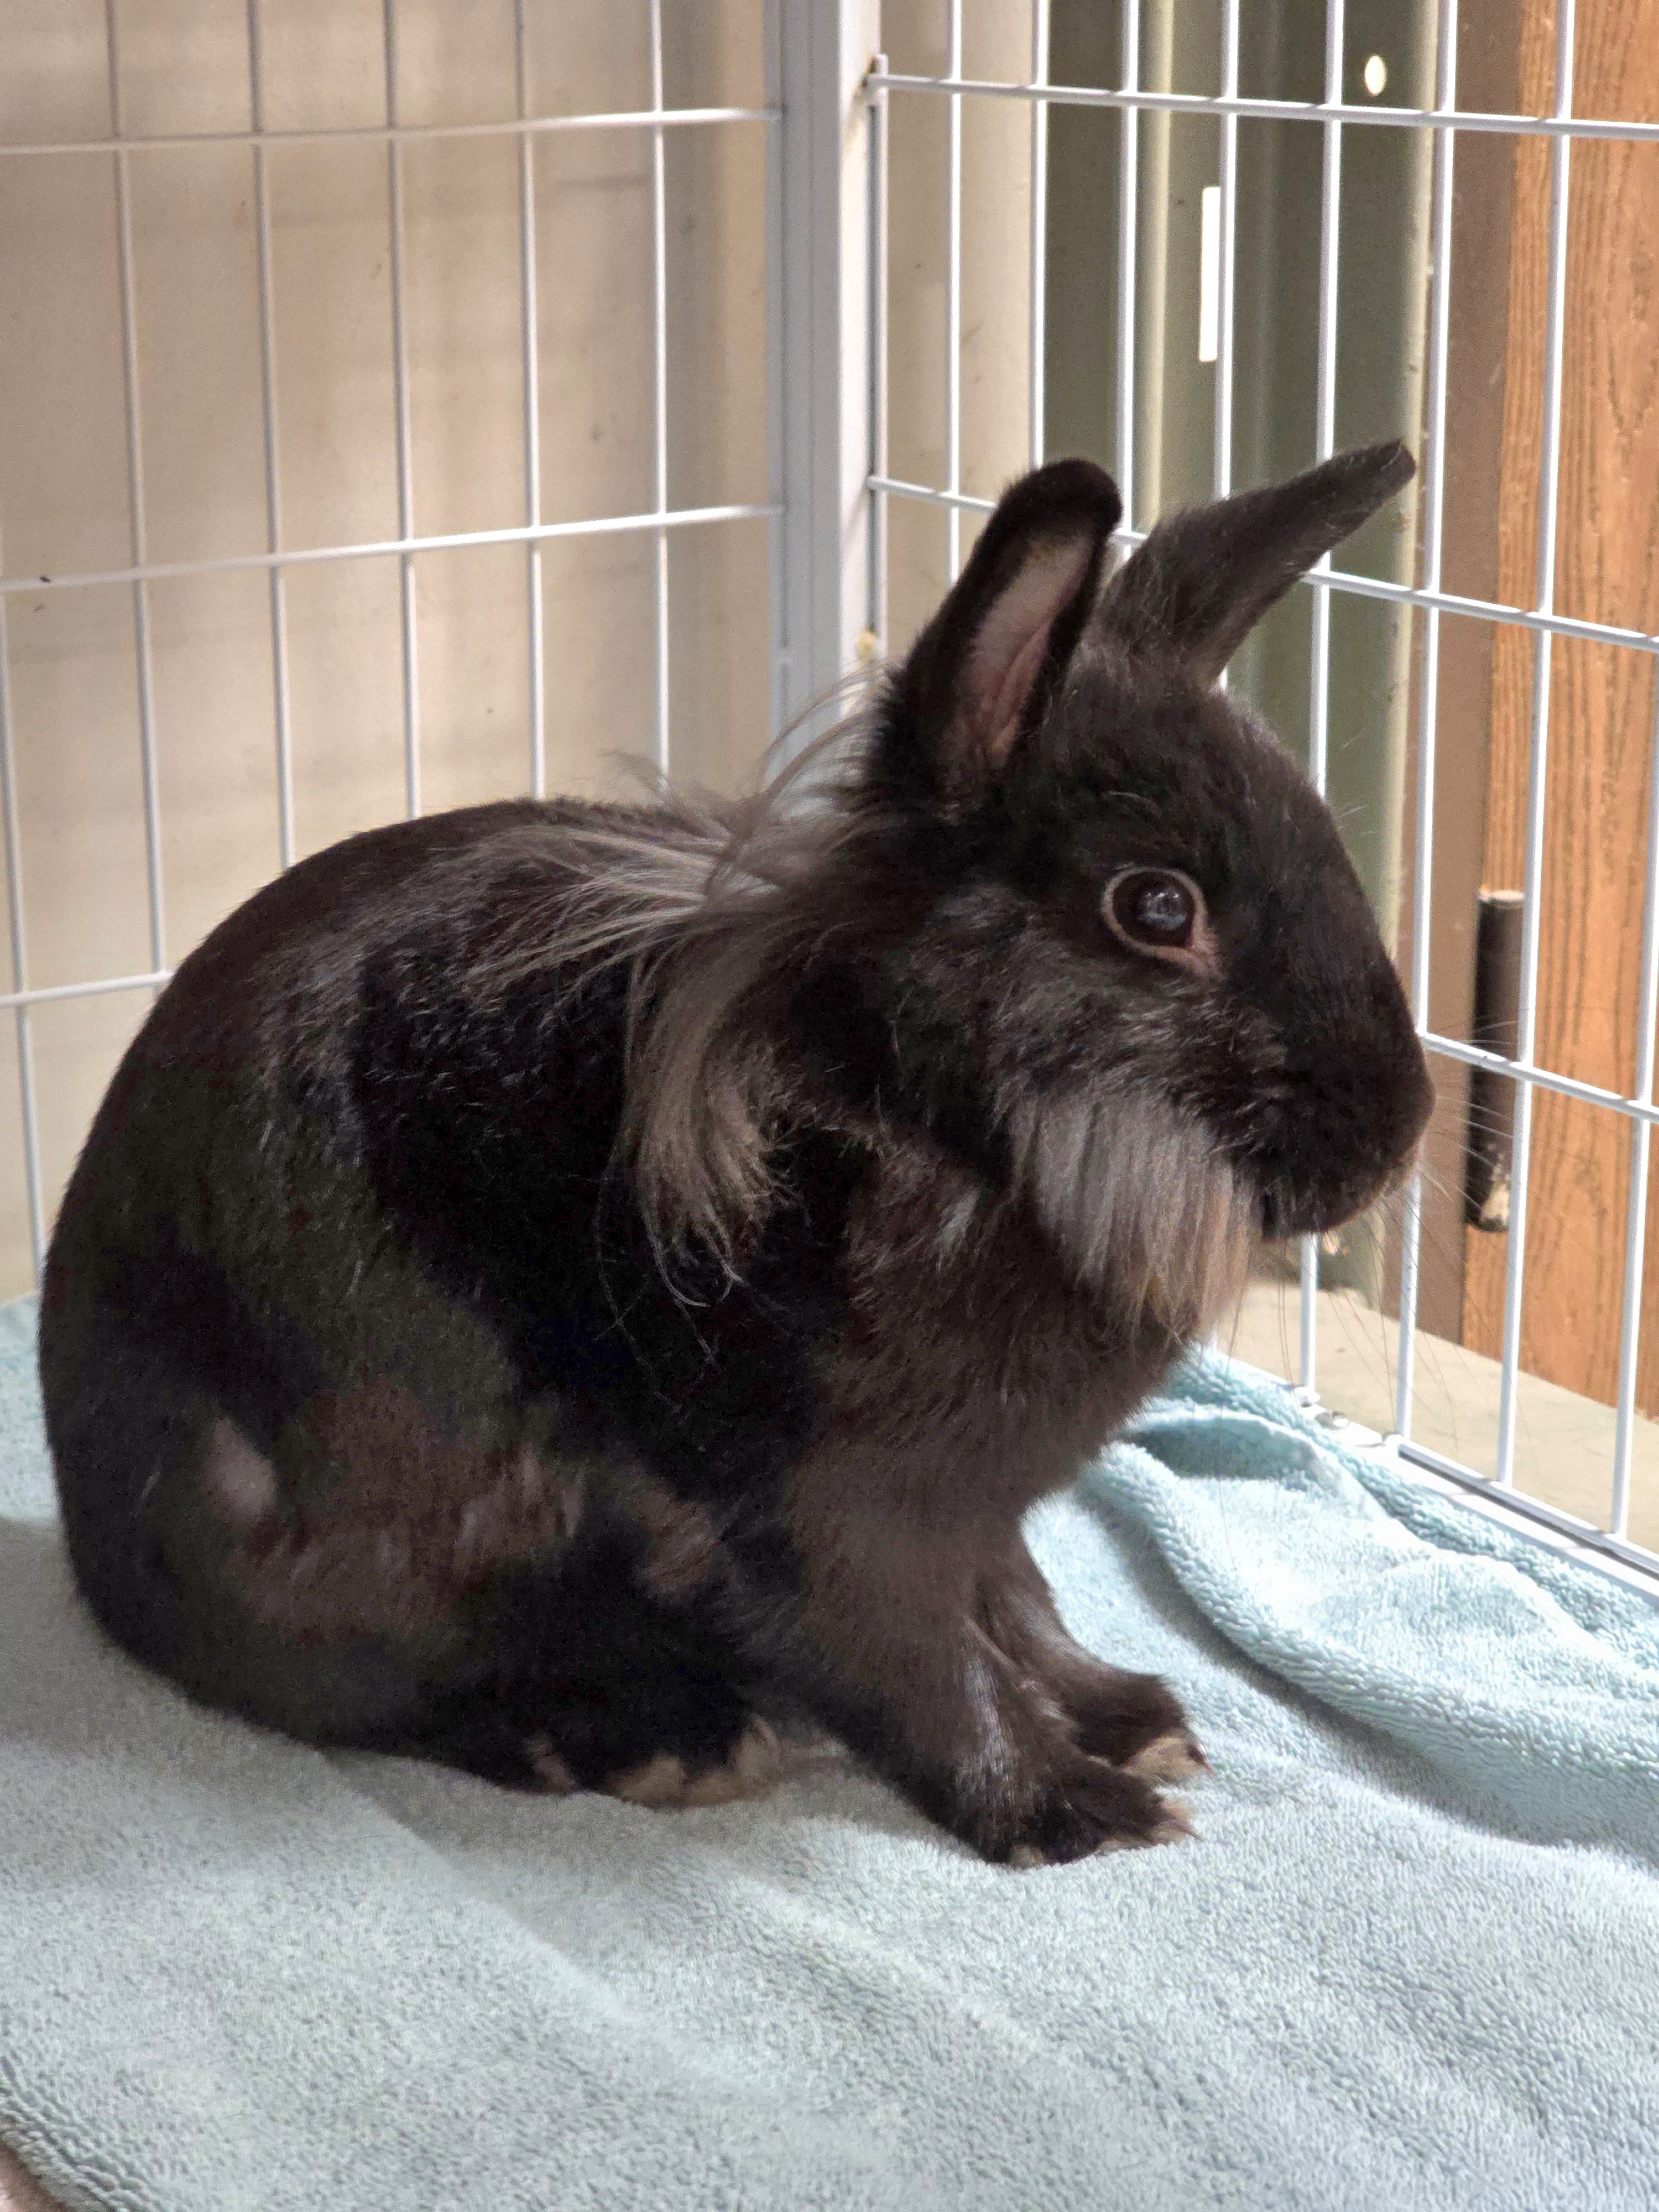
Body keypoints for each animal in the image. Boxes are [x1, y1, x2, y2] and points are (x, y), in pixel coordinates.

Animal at [40, 441, 1432, 1866]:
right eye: (1155, 907)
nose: (1393, 1139)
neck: (933, 1128)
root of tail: (93, 1528)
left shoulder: (977, 1507)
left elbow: (1020, 1601)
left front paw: (1128, 1716)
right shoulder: (824, 1514)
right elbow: (924, 1656)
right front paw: (1073, 1806)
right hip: (356, 1517)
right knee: (361, 1680)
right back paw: (659, 1738)